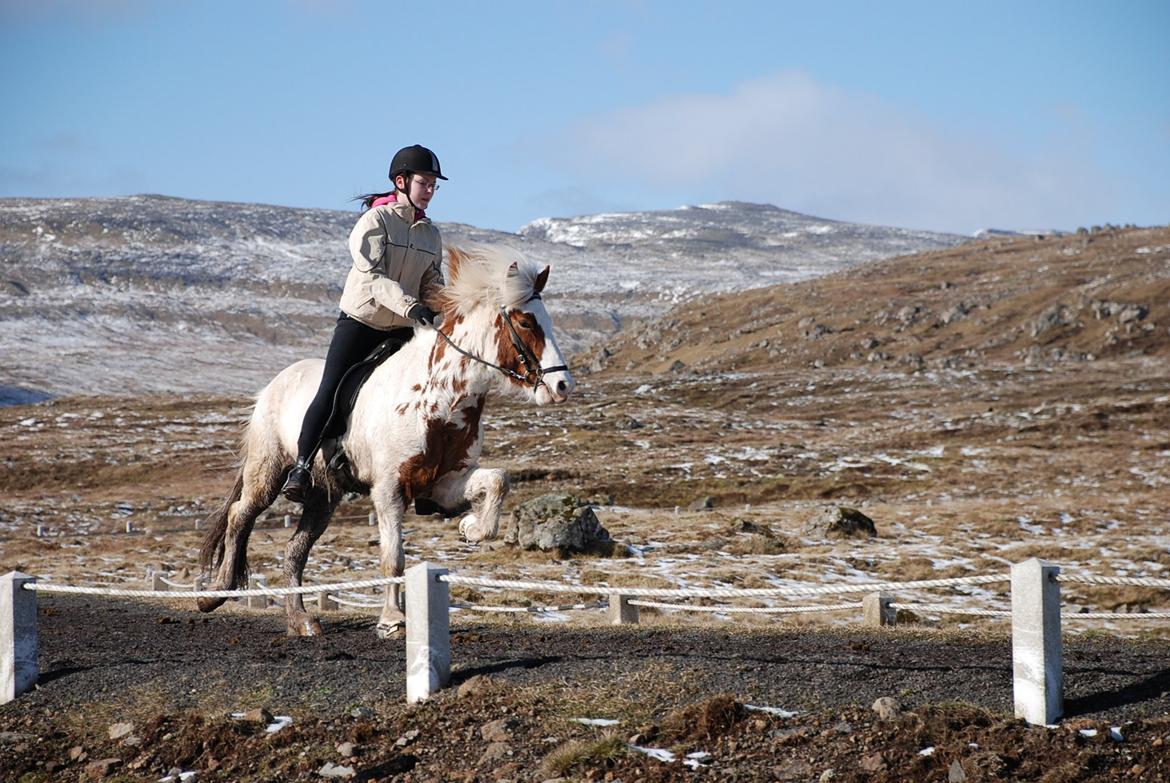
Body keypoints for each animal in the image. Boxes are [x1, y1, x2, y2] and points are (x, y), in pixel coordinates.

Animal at [198, 244, 577, 636]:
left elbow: (498, 481)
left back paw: (300, 620)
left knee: (295, 550)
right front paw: (393, 619)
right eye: (525, 322)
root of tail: (272, 385)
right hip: (269, 471)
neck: (439, 399)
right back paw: (216, 593)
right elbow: (392, 558)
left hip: (324, 495)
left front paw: (471, 527)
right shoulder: (389, 489)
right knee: (240, 516)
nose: (563, 385)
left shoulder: (444, 482)